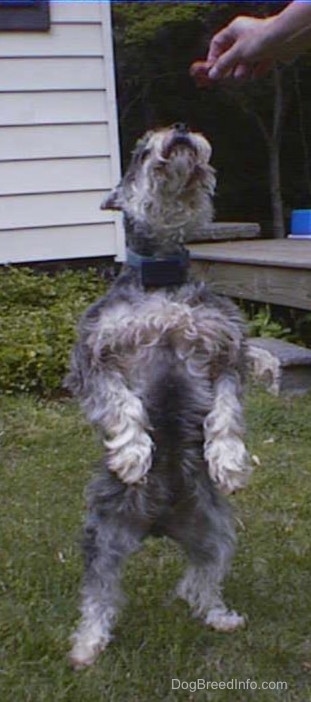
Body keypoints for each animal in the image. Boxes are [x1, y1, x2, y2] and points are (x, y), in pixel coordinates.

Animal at [66, 122, 254, 672]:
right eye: (138, 148)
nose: (182, 130)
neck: (163, 277)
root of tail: (158, 523)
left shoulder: (227, 352)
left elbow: (227, 413)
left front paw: (228, 461)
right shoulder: (93, 357)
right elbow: (122, 405)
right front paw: (132, 455)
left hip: (215, 531)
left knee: (201, 579)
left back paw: (218, 615)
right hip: (104, 536)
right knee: (100, 595)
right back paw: (86, 647)